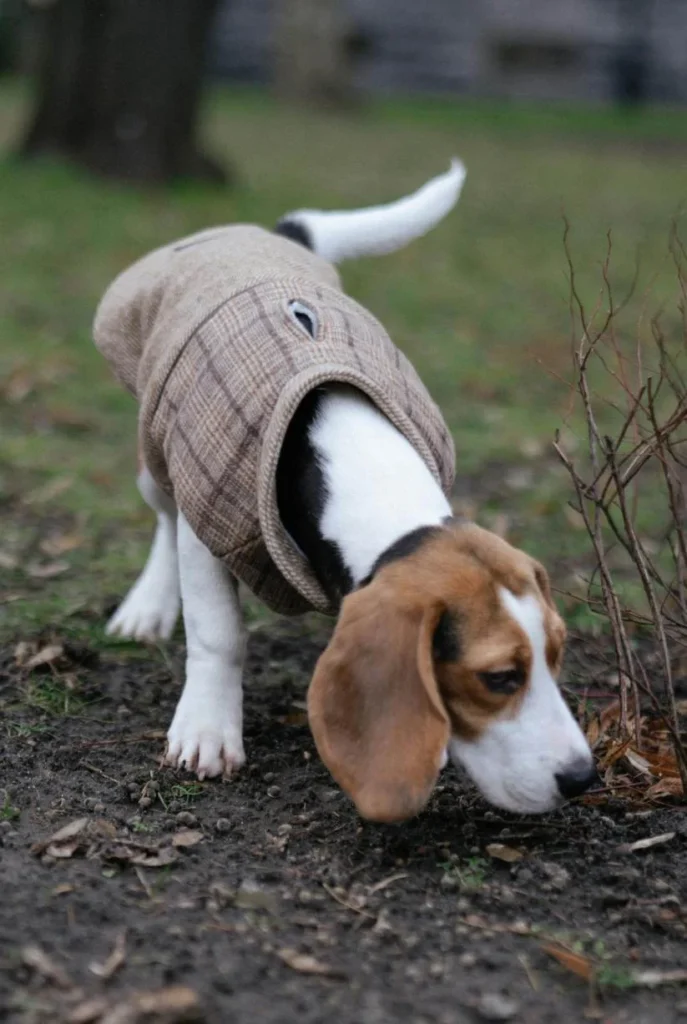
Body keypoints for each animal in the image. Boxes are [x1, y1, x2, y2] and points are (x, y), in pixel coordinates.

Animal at [103, 165, 597, 823]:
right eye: (498, 678)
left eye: (558, 653)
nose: (583, 778)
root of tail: (274, 234)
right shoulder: (208, 519)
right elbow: (217, 635)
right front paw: (207, 729)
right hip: (158, 457)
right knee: (162, 518)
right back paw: (148, 608)